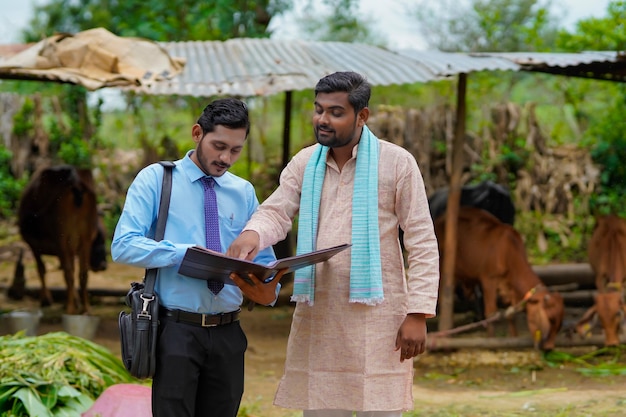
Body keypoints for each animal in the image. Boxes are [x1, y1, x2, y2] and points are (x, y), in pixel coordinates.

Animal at [15, 164, 107, 314]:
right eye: (99, 238)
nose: (103, 265)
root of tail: (76, 182)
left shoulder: (35, 245)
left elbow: (42, 269)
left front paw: (46, 300)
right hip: (82, 240)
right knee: (82, 273)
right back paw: (85, 308)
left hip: (61, 239)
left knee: (68, 272)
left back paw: (70, 308)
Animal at [432, 206, 564, 350]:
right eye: (550, 320)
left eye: (559, 325)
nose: (549, 347)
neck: (508, 252)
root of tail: (439, 218)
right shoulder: (488, 279)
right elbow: (491, 312)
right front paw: (491, 341)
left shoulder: (509, 287)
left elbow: (511, 314)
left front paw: (514, 338)